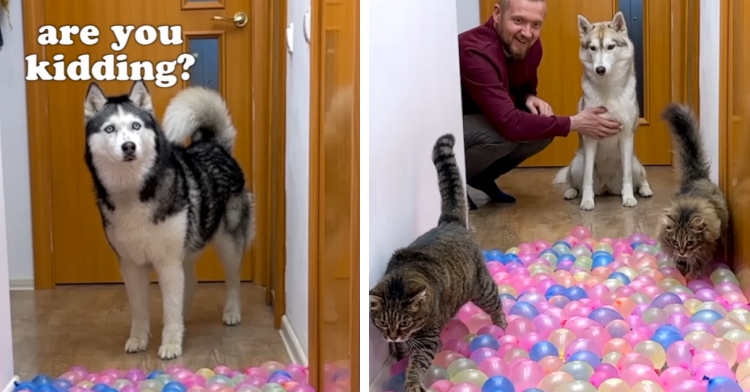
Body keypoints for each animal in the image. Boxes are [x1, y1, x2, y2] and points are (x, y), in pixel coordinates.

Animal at [83, 81, 256, 360]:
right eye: (109, 129)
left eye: (136, 126)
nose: (129, 146)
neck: (134, 192)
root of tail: (214, 145)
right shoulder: (131, 265)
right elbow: (139, 309)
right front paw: (138, 338)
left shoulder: (167, 262)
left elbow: (171, 306)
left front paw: (171, 344)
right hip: (186, 247)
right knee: (191, 283)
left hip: (228, 243)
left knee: (232, 279)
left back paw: (231, 312)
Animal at [372, 134, 512, 392]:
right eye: (383, 322)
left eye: (405, 322)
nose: (393, 336)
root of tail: (450, 221)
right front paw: (400, 355)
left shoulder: (426, 338)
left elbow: (417, 363)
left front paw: (412, 381)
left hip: (482, 288)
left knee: (496, 303)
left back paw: (502, 328)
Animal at [556, 10, 656, 210]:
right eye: (593, 48)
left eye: (611, 47)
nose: (600, 69)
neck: (607, 89)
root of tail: (607, 187)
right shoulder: (591, 138)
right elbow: (587, 178)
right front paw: (587, 200)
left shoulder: (626, 136)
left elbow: (628, 177)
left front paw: (628, 198)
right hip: (577, 163)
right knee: (575, 182)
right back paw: (572, 192)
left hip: (634, 163)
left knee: (640, 178)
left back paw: (644, 190)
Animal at [660, 102, 732, 278]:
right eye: (674, 241)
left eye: (690, 242)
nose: (682, 252)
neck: (686, 211)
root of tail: (696, 176)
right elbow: (681, 264)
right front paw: (681, 271)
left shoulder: (706, 247)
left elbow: (700, 259)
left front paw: (695, 273)